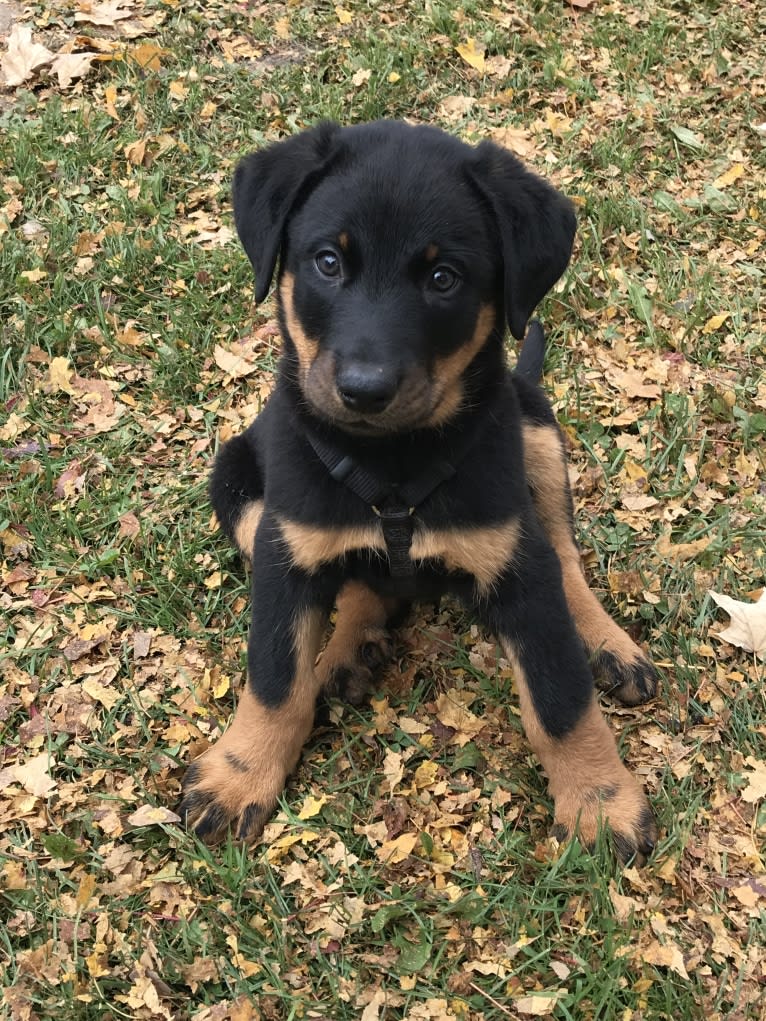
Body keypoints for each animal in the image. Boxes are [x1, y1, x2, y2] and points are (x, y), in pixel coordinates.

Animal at [181, 123, 661, 865]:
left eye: (443, 278)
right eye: (327, 262)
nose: (364, 389)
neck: (394, 465)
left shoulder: (518, 565)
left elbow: (562, 700)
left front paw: (601, 802)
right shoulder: (286, 554)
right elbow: (275, 679)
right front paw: (239, 776)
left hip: (534, 429)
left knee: (565, 556)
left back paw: (610, 644)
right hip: (234, 483)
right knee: (363, 583)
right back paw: (350, 647)